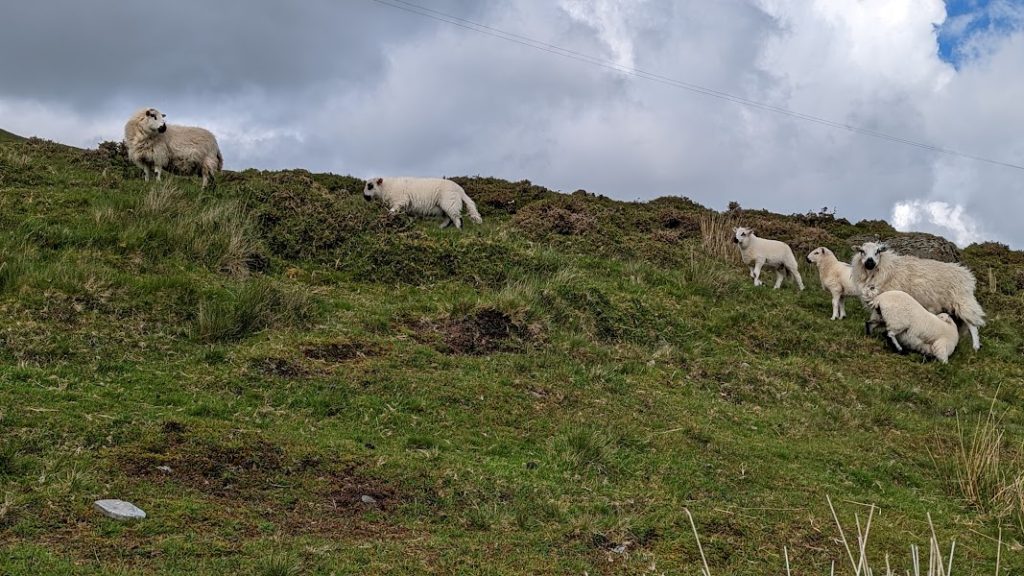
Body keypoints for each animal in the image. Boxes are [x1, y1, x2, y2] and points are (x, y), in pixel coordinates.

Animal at [847, 239, 983, 348]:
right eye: (862, 251)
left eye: (878, 251)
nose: (870, 262)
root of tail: (966, 274)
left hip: (962, 301)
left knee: (972, 325)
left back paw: (975, 347)